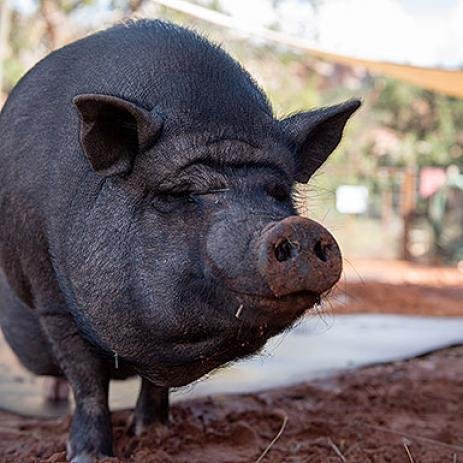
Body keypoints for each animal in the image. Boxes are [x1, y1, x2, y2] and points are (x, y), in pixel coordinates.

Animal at [0, 20, 360, 462]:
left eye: (278, 192)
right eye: (180, 191)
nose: (298, 229)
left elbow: (156, 384)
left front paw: (155, 434)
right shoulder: (51, 299)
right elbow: (87, 381)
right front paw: (90, 456)